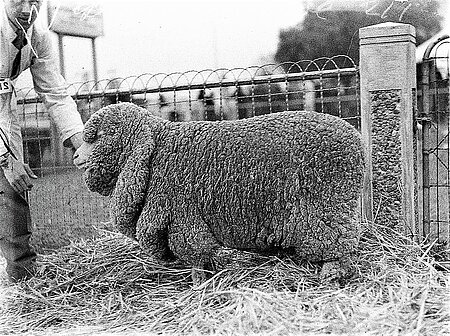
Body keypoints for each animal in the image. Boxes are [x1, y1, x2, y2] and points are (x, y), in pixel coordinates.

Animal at [74, 101, 366, 284]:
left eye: (100, 135)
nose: (76, 156)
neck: (157, 151)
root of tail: (357, 141)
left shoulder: (183, 219)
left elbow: (195, 254)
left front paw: (199, 284)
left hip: (328, 208)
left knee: (340, 246)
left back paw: (332, 273)